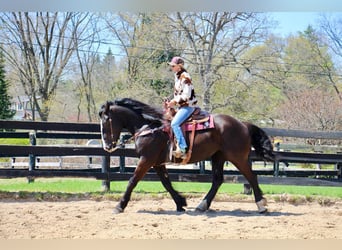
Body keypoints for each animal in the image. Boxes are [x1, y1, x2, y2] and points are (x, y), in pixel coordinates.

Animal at [98, 97, 272, 213]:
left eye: (106, 121)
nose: (107, 146)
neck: (148, 127)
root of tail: (243, 124)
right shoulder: (157, 163)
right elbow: (166, 183)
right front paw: (180, 203)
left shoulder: (146, 160)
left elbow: (132, 181)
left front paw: (120, 205)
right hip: (218, 157)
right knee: (218, 180)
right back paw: (202, 205)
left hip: (237, 157)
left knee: (251, 176)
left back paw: (261, 205)